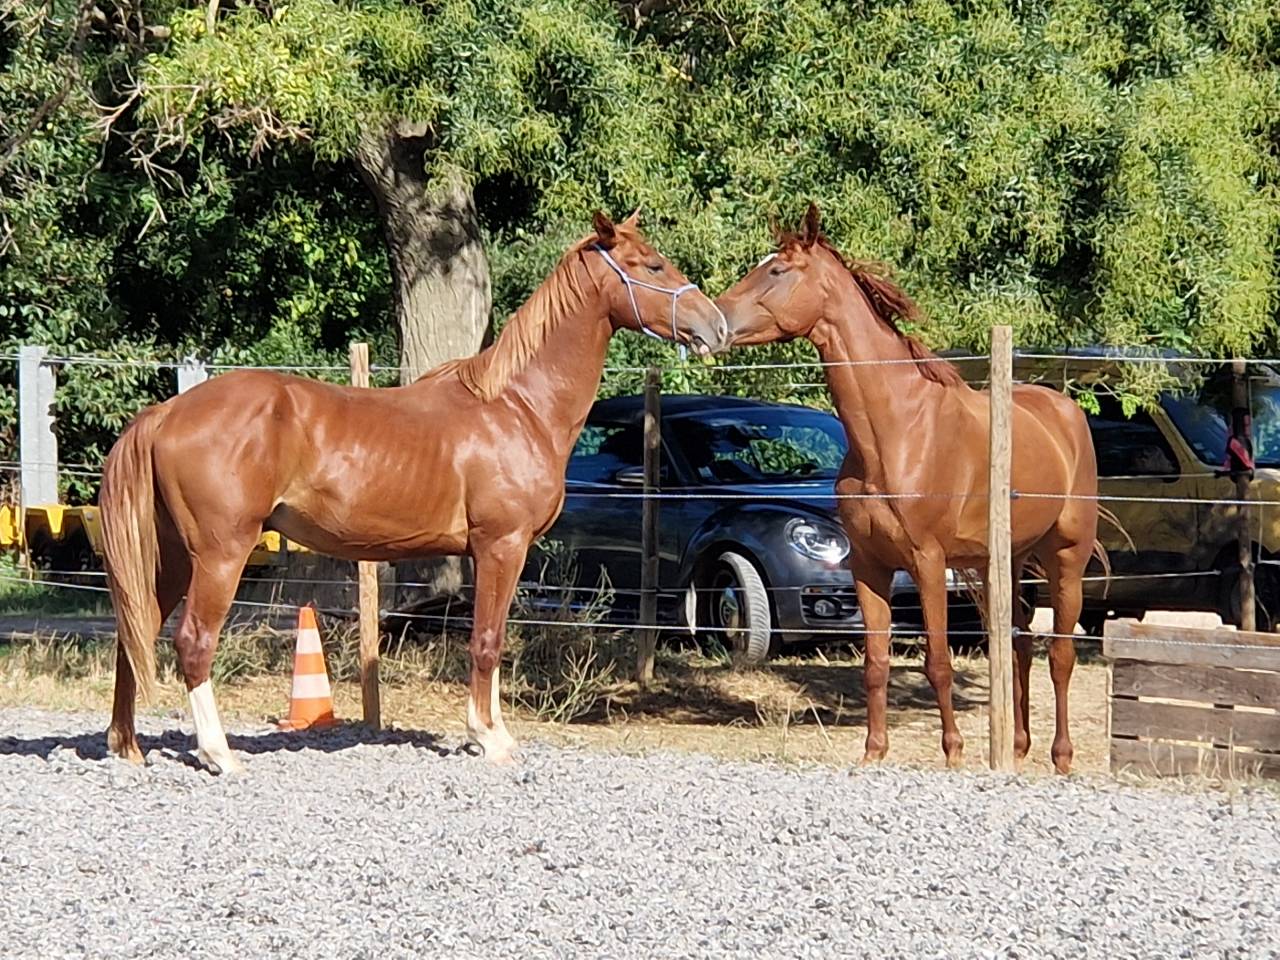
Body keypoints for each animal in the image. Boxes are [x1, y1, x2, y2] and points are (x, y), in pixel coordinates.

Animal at [99, 210, 730, 774]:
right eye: (653, 263)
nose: (717, 325)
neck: (516, 407)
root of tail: (166, 412)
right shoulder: (503, 545)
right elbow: (487, 641)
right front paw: (489, 741)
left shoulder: (490, 554)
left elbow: (489, 637)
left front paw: (491, 733)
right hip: (221, 553)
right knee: (192, 640)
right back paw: (219, 755)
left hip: (172, 555)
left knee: (136, 629)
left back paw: (126, 746)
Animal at [714, 204, 1103, 774]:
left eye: (778, 271)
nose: (715, 322)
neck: (896, 432)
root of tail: (1066, 412)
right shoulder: (869, 565)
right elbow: (876, 661)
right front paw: (874, 749)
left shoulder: (927, 561)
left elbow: (938, 660)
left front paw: (953, 751)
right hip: (1005, 563)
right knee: (1019, 645)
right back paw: (1015, 747)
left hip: (1065, 557)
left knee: (1060, 654)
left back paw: (1061, 755)